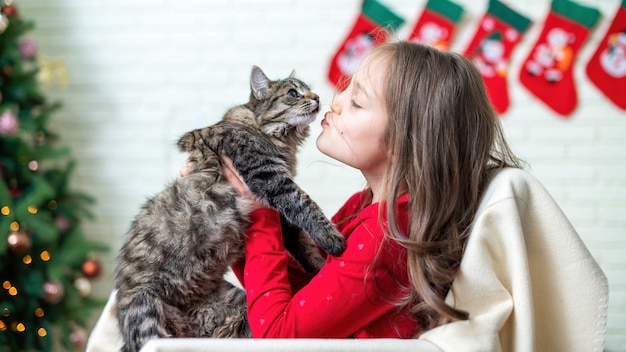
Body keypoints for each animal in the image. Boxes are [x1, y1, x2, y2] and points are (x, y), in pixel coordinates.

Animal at [114, 66, 344, 352]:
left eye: (309, 90)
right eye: (293, 93)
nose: (317, 97)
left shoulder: (284, 219)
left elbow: (306, 246)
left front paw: (322, 269)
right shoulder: (271, 178)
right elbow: (307, 207)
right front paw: (333, 241)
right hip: (146, 317)